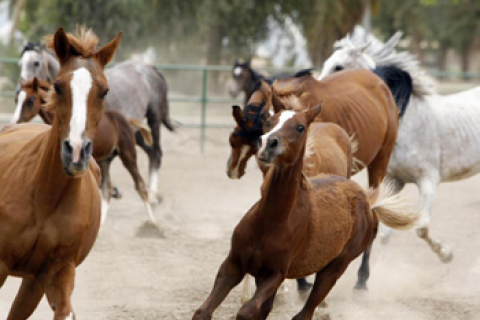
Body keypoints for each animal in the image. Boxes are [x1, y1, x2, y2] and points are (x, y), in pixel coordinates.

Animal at [12, 77, 158, 228]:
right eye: (16, 99)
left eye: (31, 100)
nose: (15, 122)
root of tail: (125, 120)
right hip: (105, 161)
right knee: (107, 189)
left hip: (128, 155)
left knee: (139, 184)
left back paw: (152, 222)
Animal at [16, 42, 174, 204]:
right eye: (20, 63)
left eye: (36, 63)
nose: (19, 87)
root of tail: (151, 69)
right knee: (150, 152)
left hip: (154, 120)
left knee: (156, 153)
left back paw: (153, 195)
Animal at [193, 100, 418, 320]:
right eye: (269, 121)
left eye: (300, 127)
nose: (268, 144)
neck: (272, 219)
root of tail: (364, 197)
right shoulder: (233, 265)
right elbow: (203, 312)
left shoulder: (274, 274)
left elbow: (247, 311)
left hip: (335, 268)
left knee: (305, 313)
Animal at [316, 31, 480, 264]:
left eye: (338, 66)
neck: (408, 121)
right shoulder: (394, 180)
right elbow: (386, 233)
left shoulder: (429, 180)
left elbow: (421, 227)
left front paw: (446, 254)